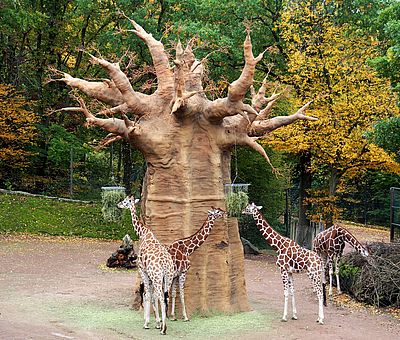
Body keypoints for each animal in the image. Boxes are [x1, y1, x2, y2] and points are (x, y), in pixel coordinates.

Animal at [116, 195, 174, 336]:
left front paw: (147, 323)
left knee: (161, 296)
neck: (143, 233)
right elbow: (152, 296)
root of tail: (165, 264)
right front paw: (157, 322)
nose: (118, 204)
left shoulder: (143, 270)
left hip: (157, 277)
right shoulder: (150, 275)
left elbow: (147, 294)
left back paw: (163, 330)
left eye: (125, 201)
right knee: (166, 297)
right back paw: (164, 326)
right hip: (168, 278)